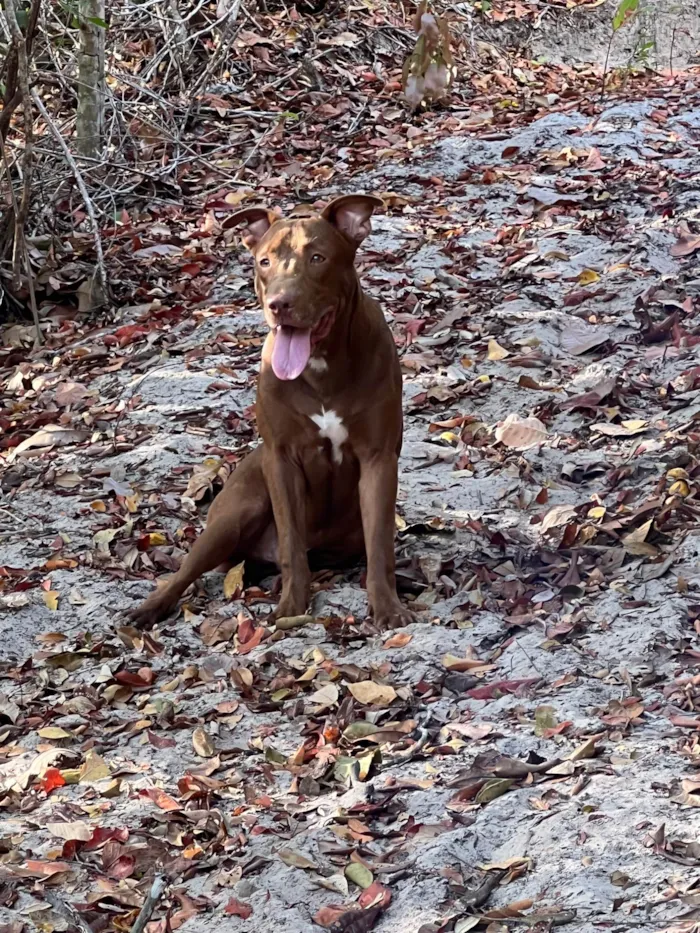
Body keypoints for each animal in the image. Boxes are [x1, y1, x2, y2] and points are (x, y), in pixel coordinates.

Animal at [130, 198, 410, 628]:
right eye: (264, 262)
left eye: (317, 257)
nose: (279, 303)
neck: (321, 366)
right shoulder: (281, 459)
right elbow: (292, 542)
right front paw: (292, 605)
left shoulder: (377, 458)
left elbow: (379, 544)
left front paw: (386, 605)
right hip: (233, 514)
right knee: (186, 571)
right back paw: (150, 607)